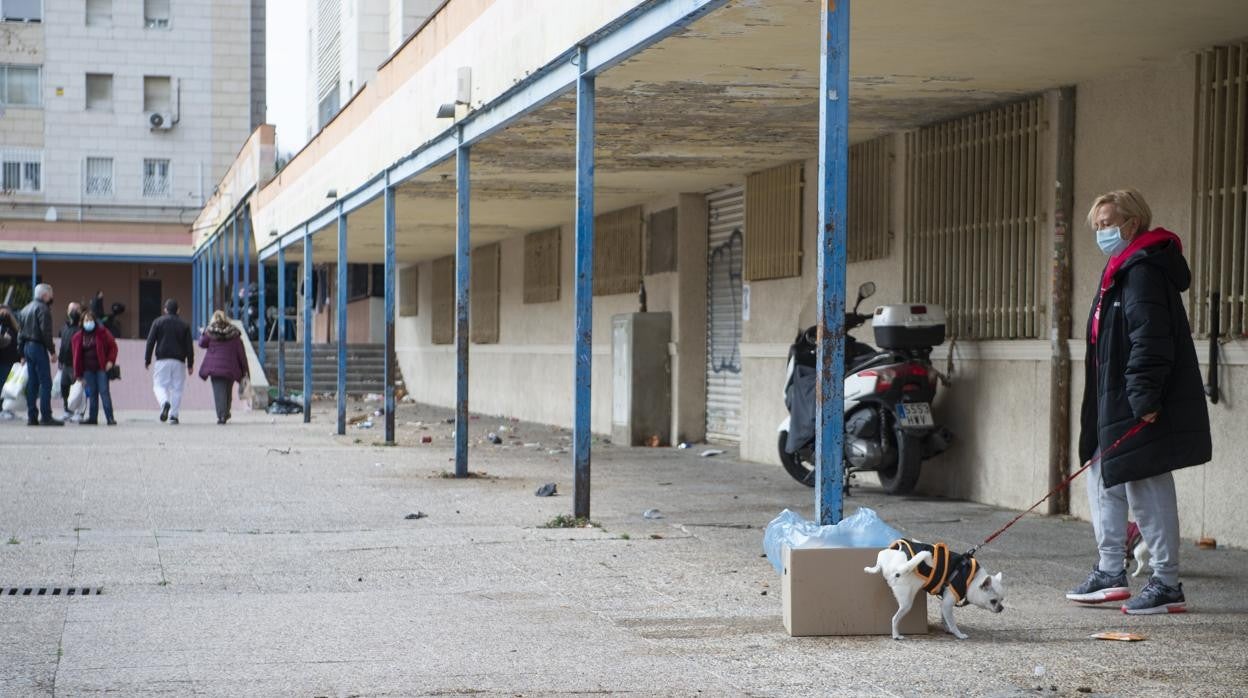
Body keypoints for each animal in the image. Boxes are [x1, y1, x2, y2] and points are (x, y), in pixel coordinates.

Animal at [863, 541, 1008, 639]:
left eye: (1002, 600)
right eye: (993, 601)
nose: (1001, 608)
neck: (971, 578)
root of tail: (898, 567)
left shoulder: (944, 604)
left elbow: (945, 618)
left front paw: (947, 628)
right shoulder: (947, 604)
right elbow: (953, 622)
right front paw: (959, 634)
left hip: (883, 557)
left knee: (878, 563)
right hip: (906, 603)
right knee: (894, 619)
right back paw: (896, 635)